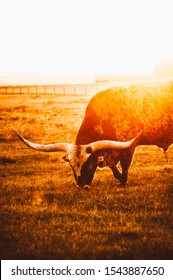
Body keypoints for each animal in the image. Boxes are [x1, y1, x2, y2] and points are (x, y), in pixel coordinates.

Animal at [14, 80, 173, 188]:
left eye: (89, 164)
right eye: (71, 165)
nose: (82, 186)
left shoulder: (128, 145)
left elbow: (125, 164)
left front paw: (123, 182)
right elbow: (111, 165)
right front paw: (118, 177)